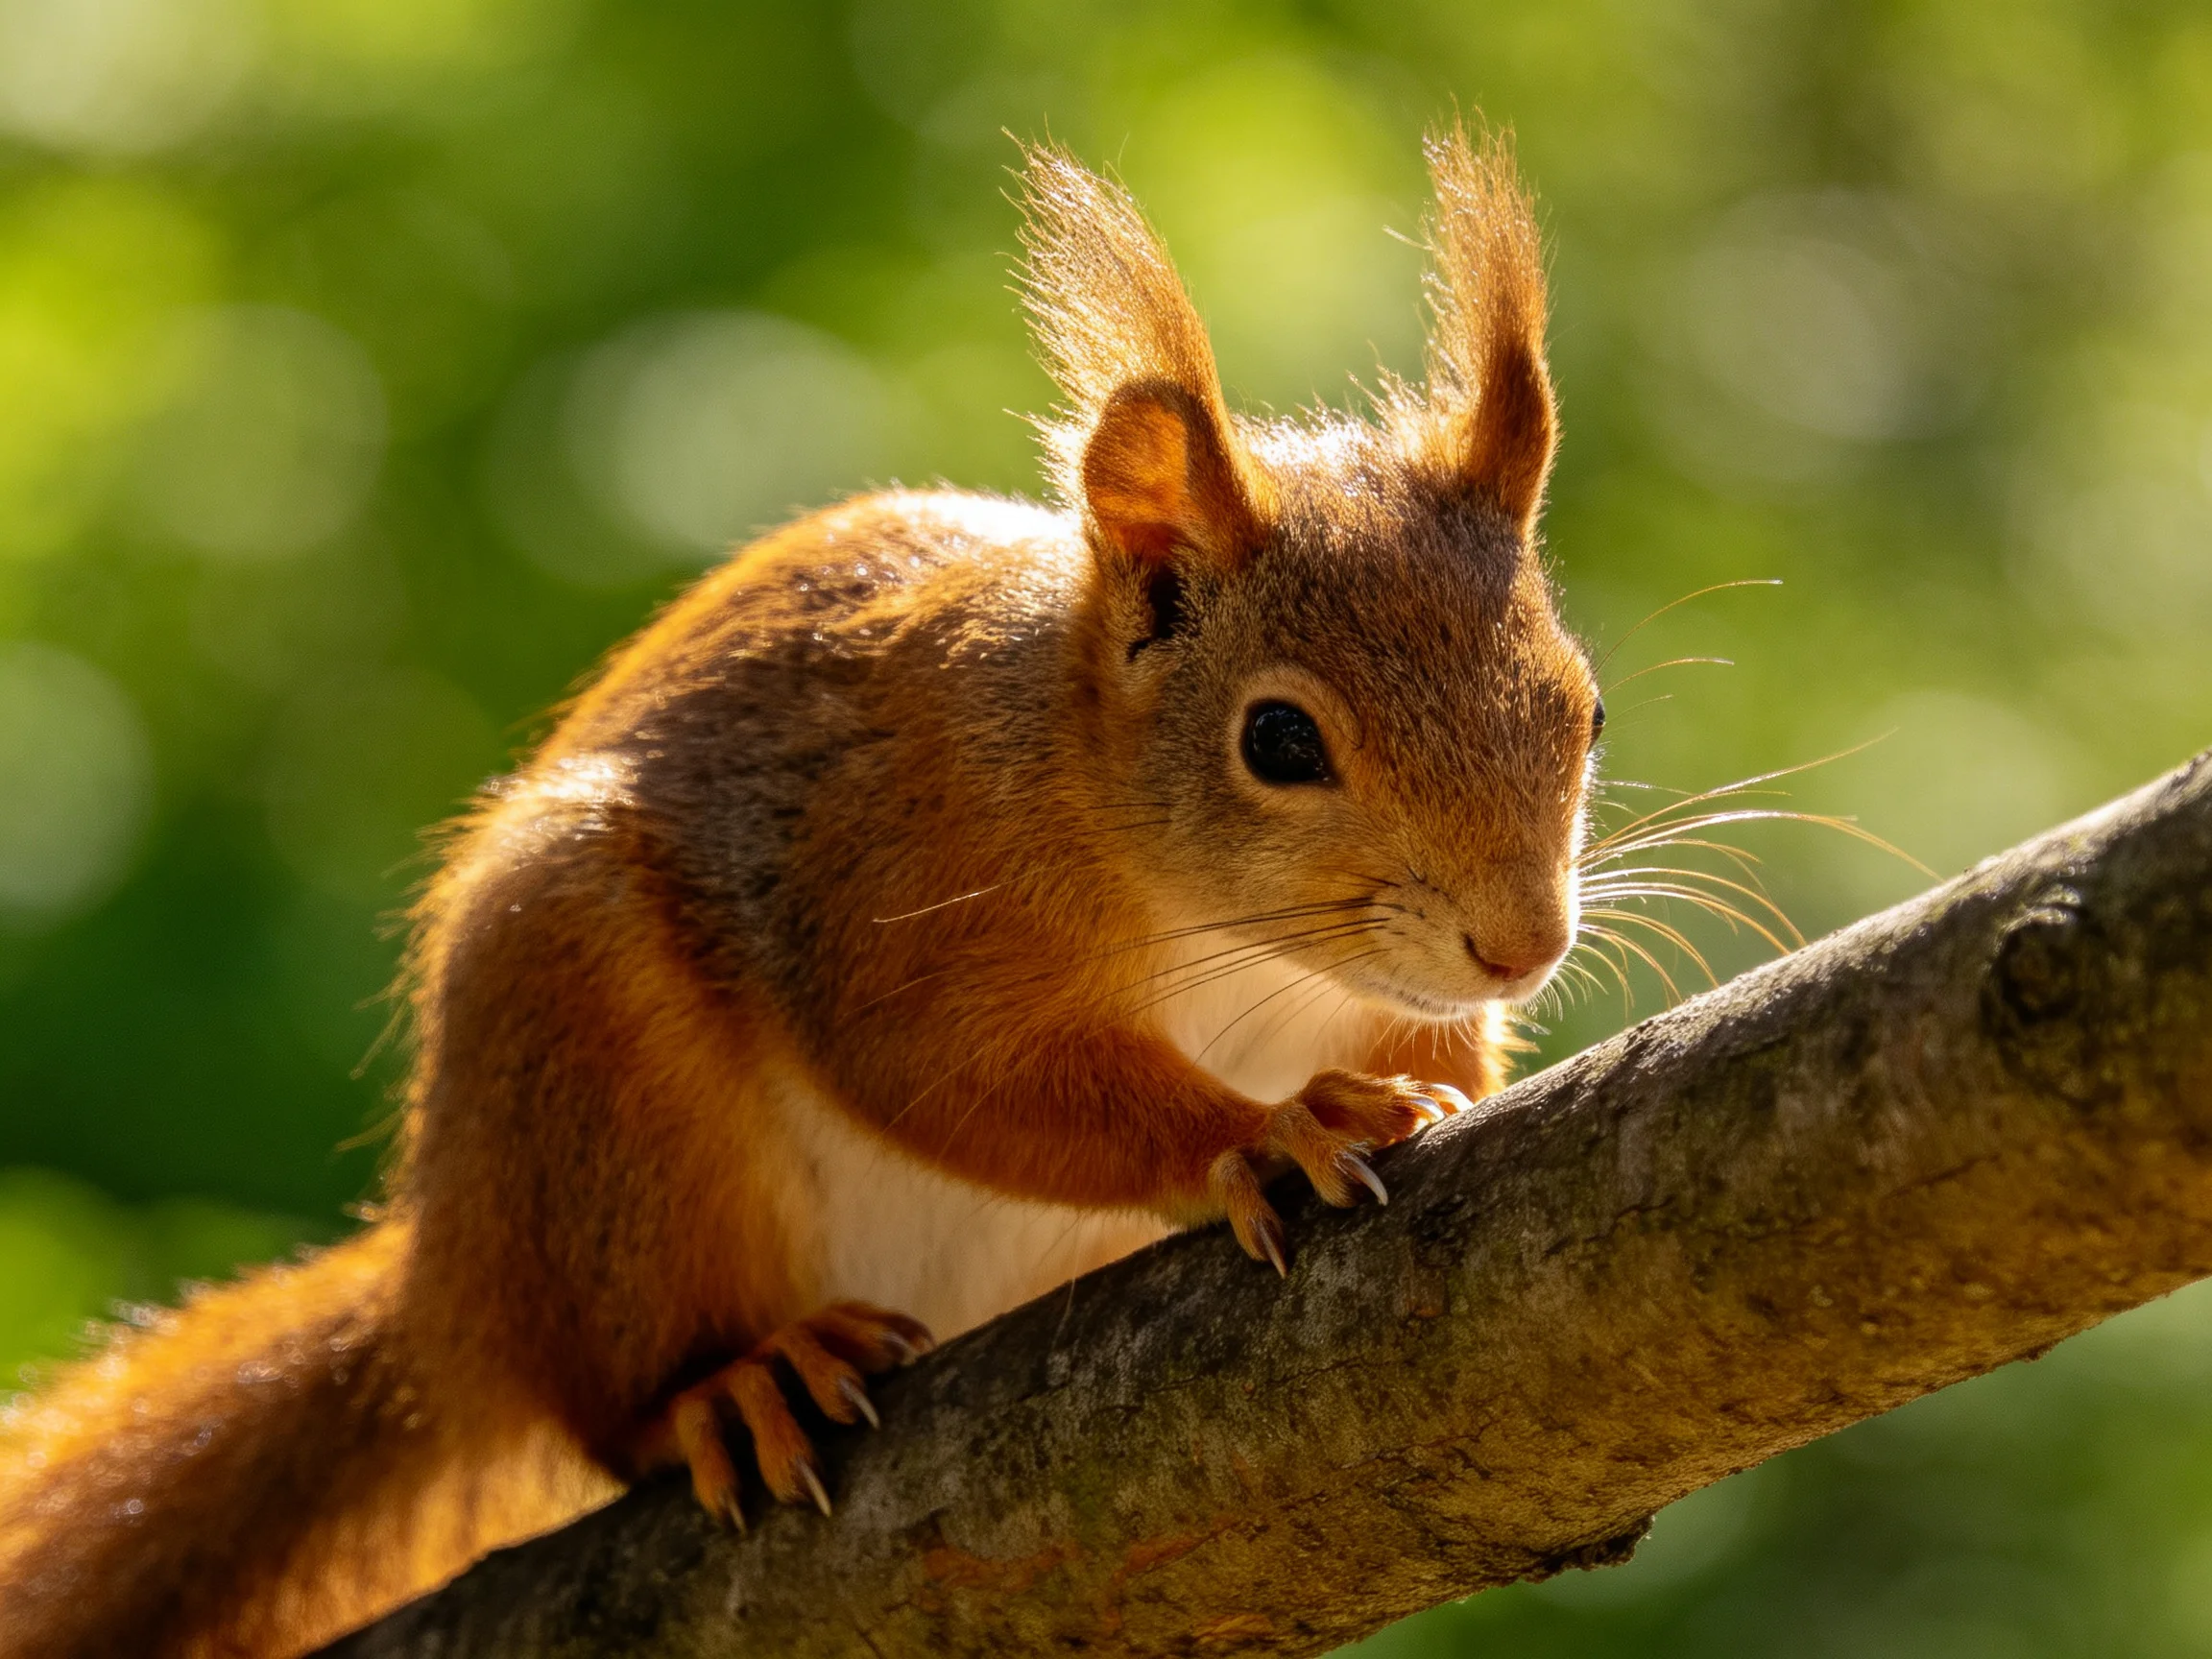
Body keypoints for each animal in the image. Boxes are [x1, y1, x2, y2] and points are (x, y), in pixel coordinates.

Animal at [0, 125, 1599, 1658]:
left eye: (1582, 708)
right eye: (1279, 741)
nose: (1519, 946)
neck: (1251, 958)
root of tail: (452, 1289)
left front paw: (1432, 1086)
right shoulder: (905, 881)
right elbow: (947, 1068)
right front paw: (1262, 1131)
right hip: (591, 1077)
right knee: (622, 1395)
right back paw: (733, 1385)